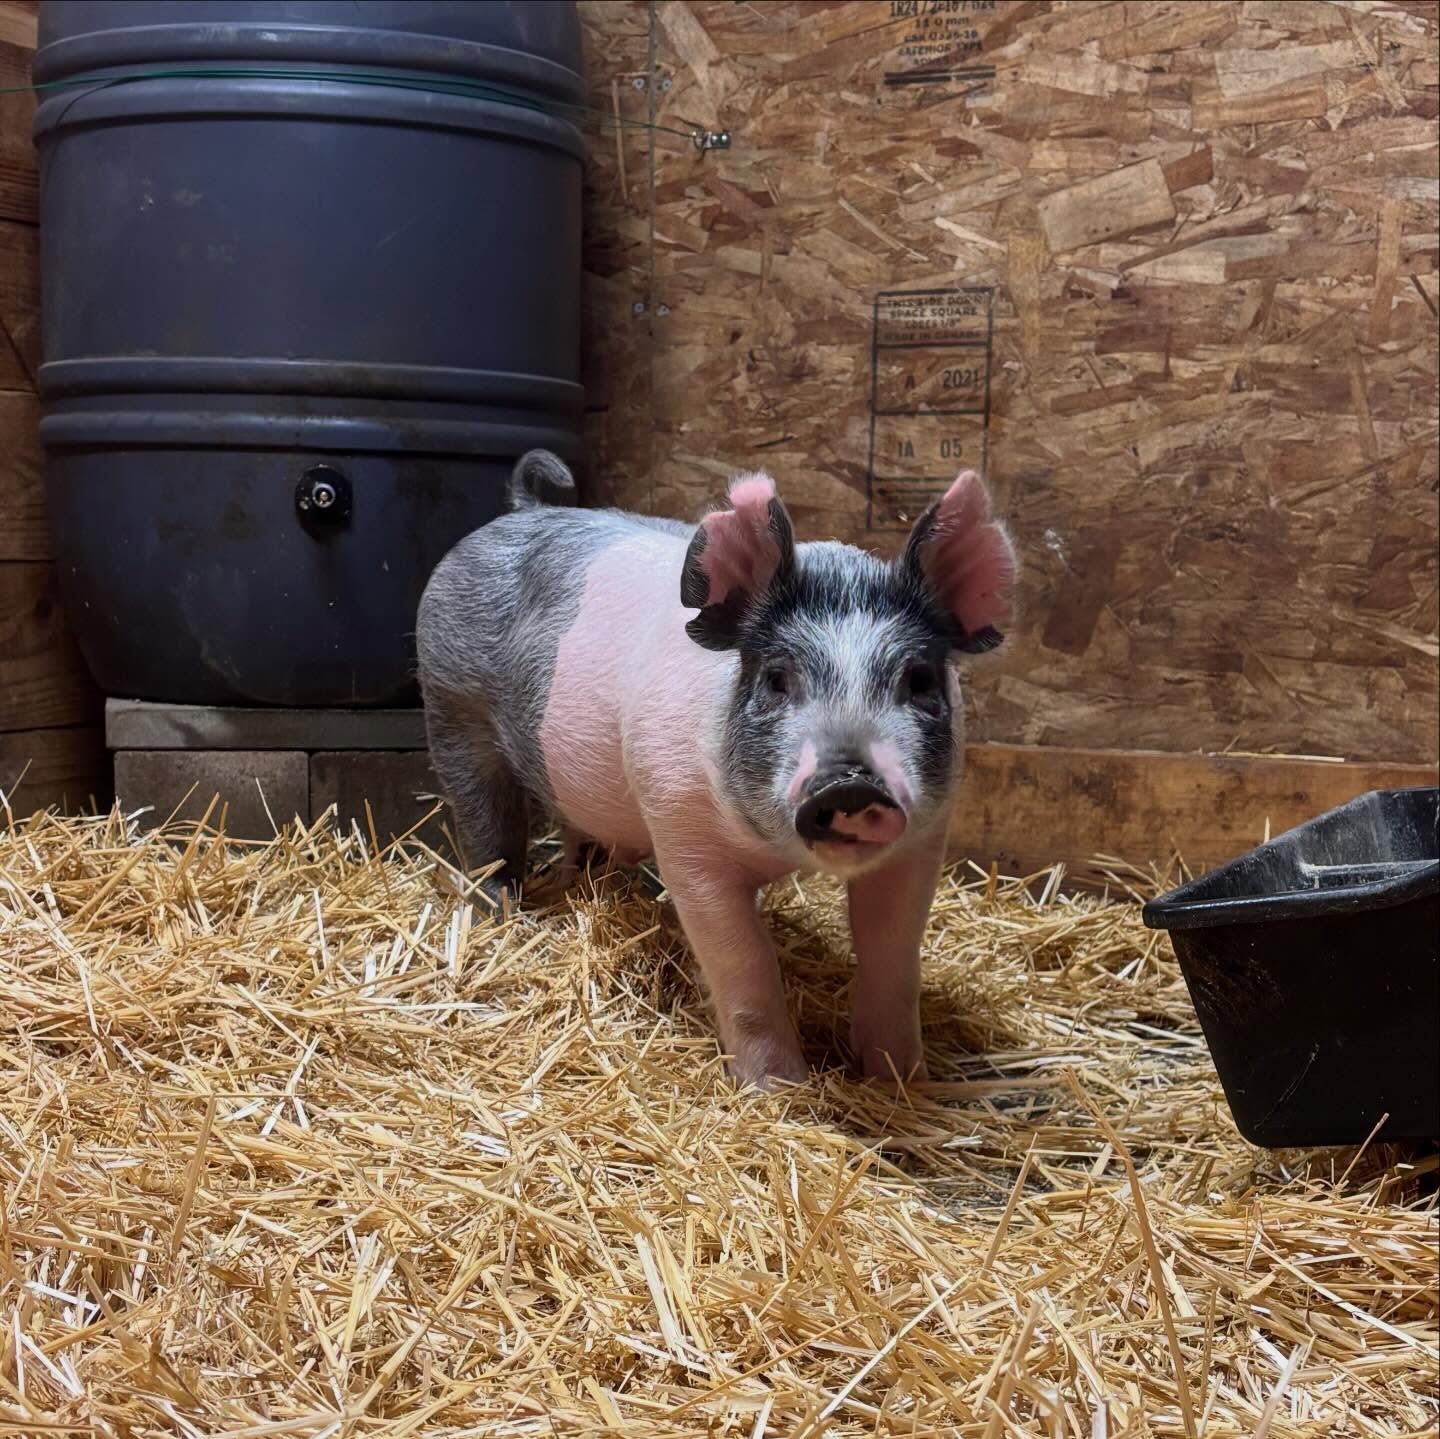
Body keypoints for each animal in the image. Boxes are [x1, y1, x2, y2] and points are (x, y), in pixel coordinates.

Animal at [416, 453, 1016, 1088]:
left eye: (920, 680)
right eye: (776, 678)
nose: (850, 783)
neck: (776, 853)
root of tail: (523, 510)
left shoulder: (923, 839)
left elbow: (893, 955)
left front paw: (901, 1081)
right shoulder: (682, 831)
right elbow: (743, 961)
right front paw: (777, 1088)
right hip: (452, 711)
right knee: (488, 836)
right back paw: (507, 918)